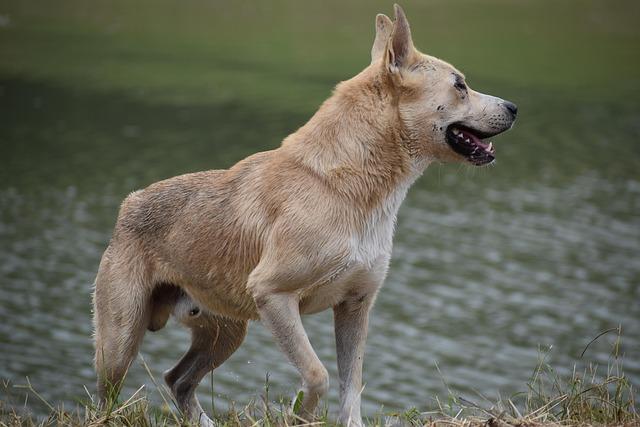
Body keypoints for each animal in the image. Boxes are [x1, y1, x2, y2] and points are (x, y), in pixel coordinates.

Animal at [92, 5, 516, 426]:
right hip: (120, 342)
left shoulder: (356, 306)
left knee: (178, 379)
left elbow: (351, 387)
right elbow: (317, 374)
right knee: (109, 398)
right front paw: (301, 413)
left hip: (226, 332)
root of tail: (128, 204)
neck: (347, 187)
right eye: (460, 85)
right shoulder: (274, 296)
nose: (514, 108)